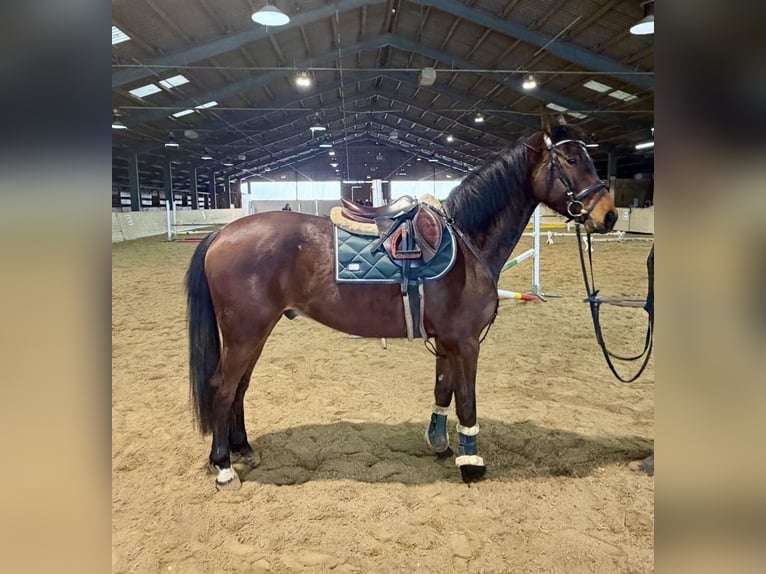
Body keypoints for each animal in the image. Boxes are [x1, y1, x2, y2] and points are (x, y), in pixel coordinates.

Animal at [185, 114, 618, 489]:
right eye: (572, 159)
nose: (609, 215)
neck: (467, 241)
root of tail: (222, 234)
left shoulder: (447, 342)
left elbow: (444, 390)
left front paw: (440, 444)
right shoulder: (466, 342)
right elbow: (467, 401)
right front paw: (471, 463)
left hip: (255, 332)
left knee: (240, 387)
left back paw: (242, 448)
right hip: (245, 333)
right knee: (223, 387)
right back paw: (224, 467)